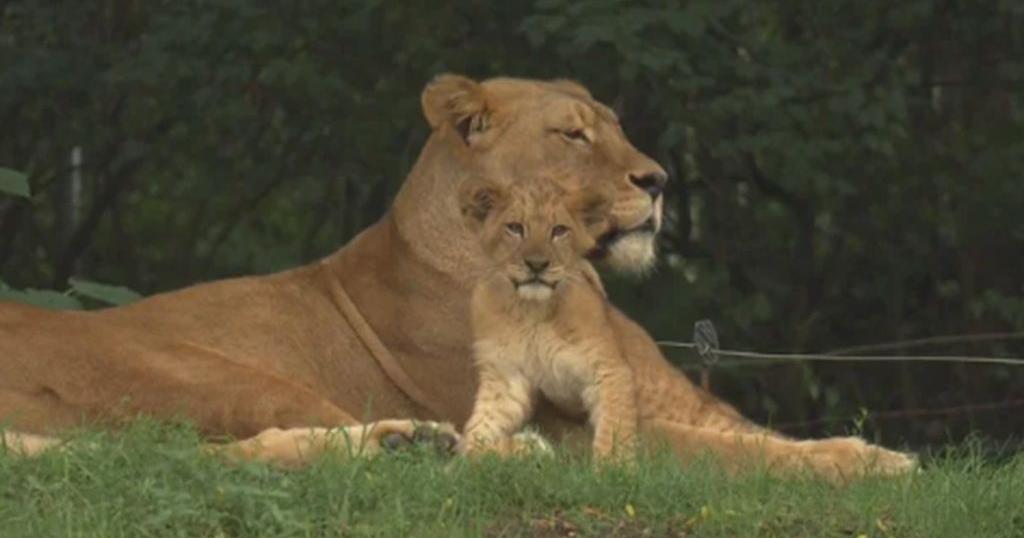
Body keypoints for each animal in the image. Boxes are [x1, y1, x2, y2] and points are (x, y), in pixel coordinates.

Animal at [458, 178, 637, 461]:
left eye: (559, 230)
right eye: (515, 228)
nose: (537, 264)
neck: (532, 311)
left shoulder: (608, 370)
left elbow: (614, 428)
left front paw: (613, 468)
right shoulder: (505, 376)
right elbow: (479, 431)